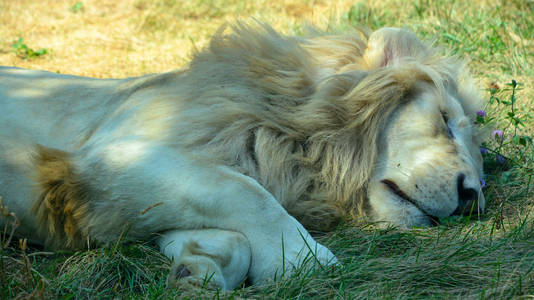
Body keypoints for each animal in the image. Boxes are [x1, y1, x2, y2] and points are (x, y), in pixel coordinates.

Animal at [0, 24, 486, 290]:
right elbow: (244, 193)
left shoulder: (115, 200)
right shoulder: (107, 157)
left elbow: (228, 229)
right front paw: (303, 262)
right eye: (445, 120)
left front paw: (197, 268)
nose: (471, 197)